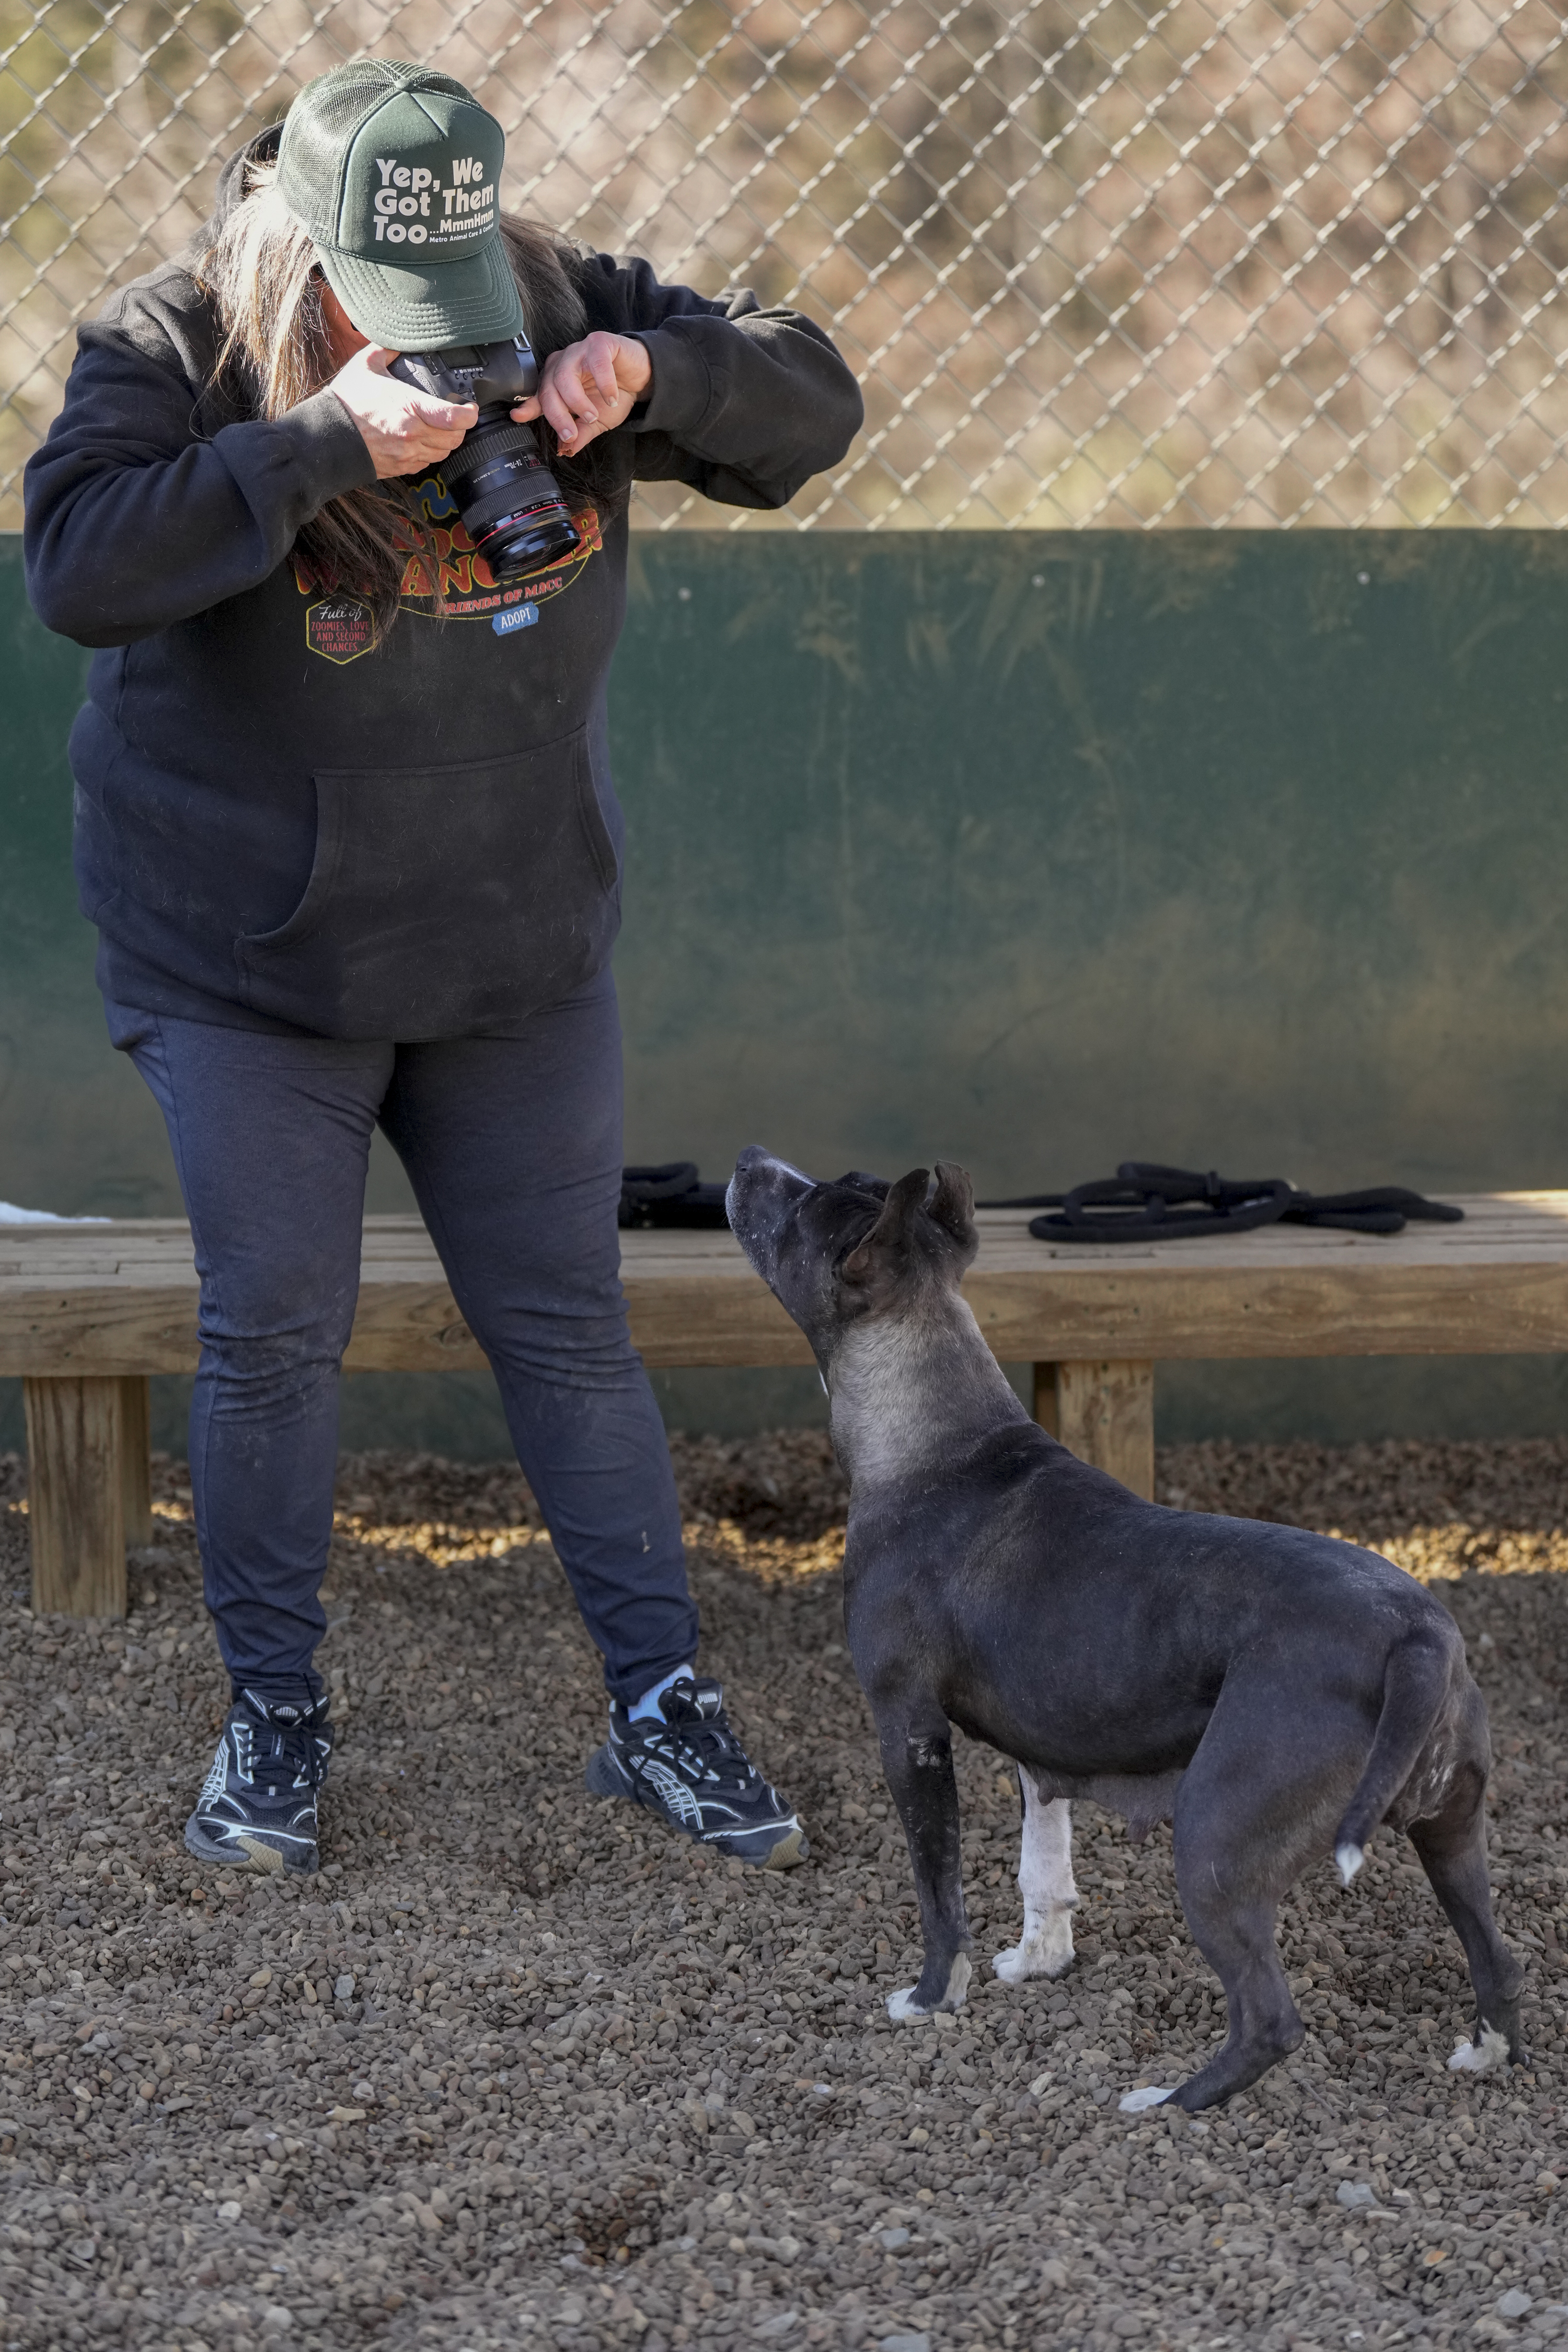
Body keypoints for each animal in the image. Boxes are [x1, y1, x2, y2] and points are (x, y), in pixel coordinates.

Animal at [729, 1152, 1523, 2117]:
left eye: (803, 1209)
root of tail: (1418, 1636)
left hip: (1216, 1840)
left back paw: (1167, 2106)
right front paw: (1037, 1964)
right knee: (1497, 1959)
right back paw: (1483, 2052)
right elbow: (1043, 1869)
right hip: (1452, 1834)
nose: (752, 1162)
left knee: (1270, 2017)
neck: (934, 1442)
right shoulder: (1041, 1758)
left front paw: (932, 1997)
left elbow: (937, 1885)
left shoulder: (906, 1729)